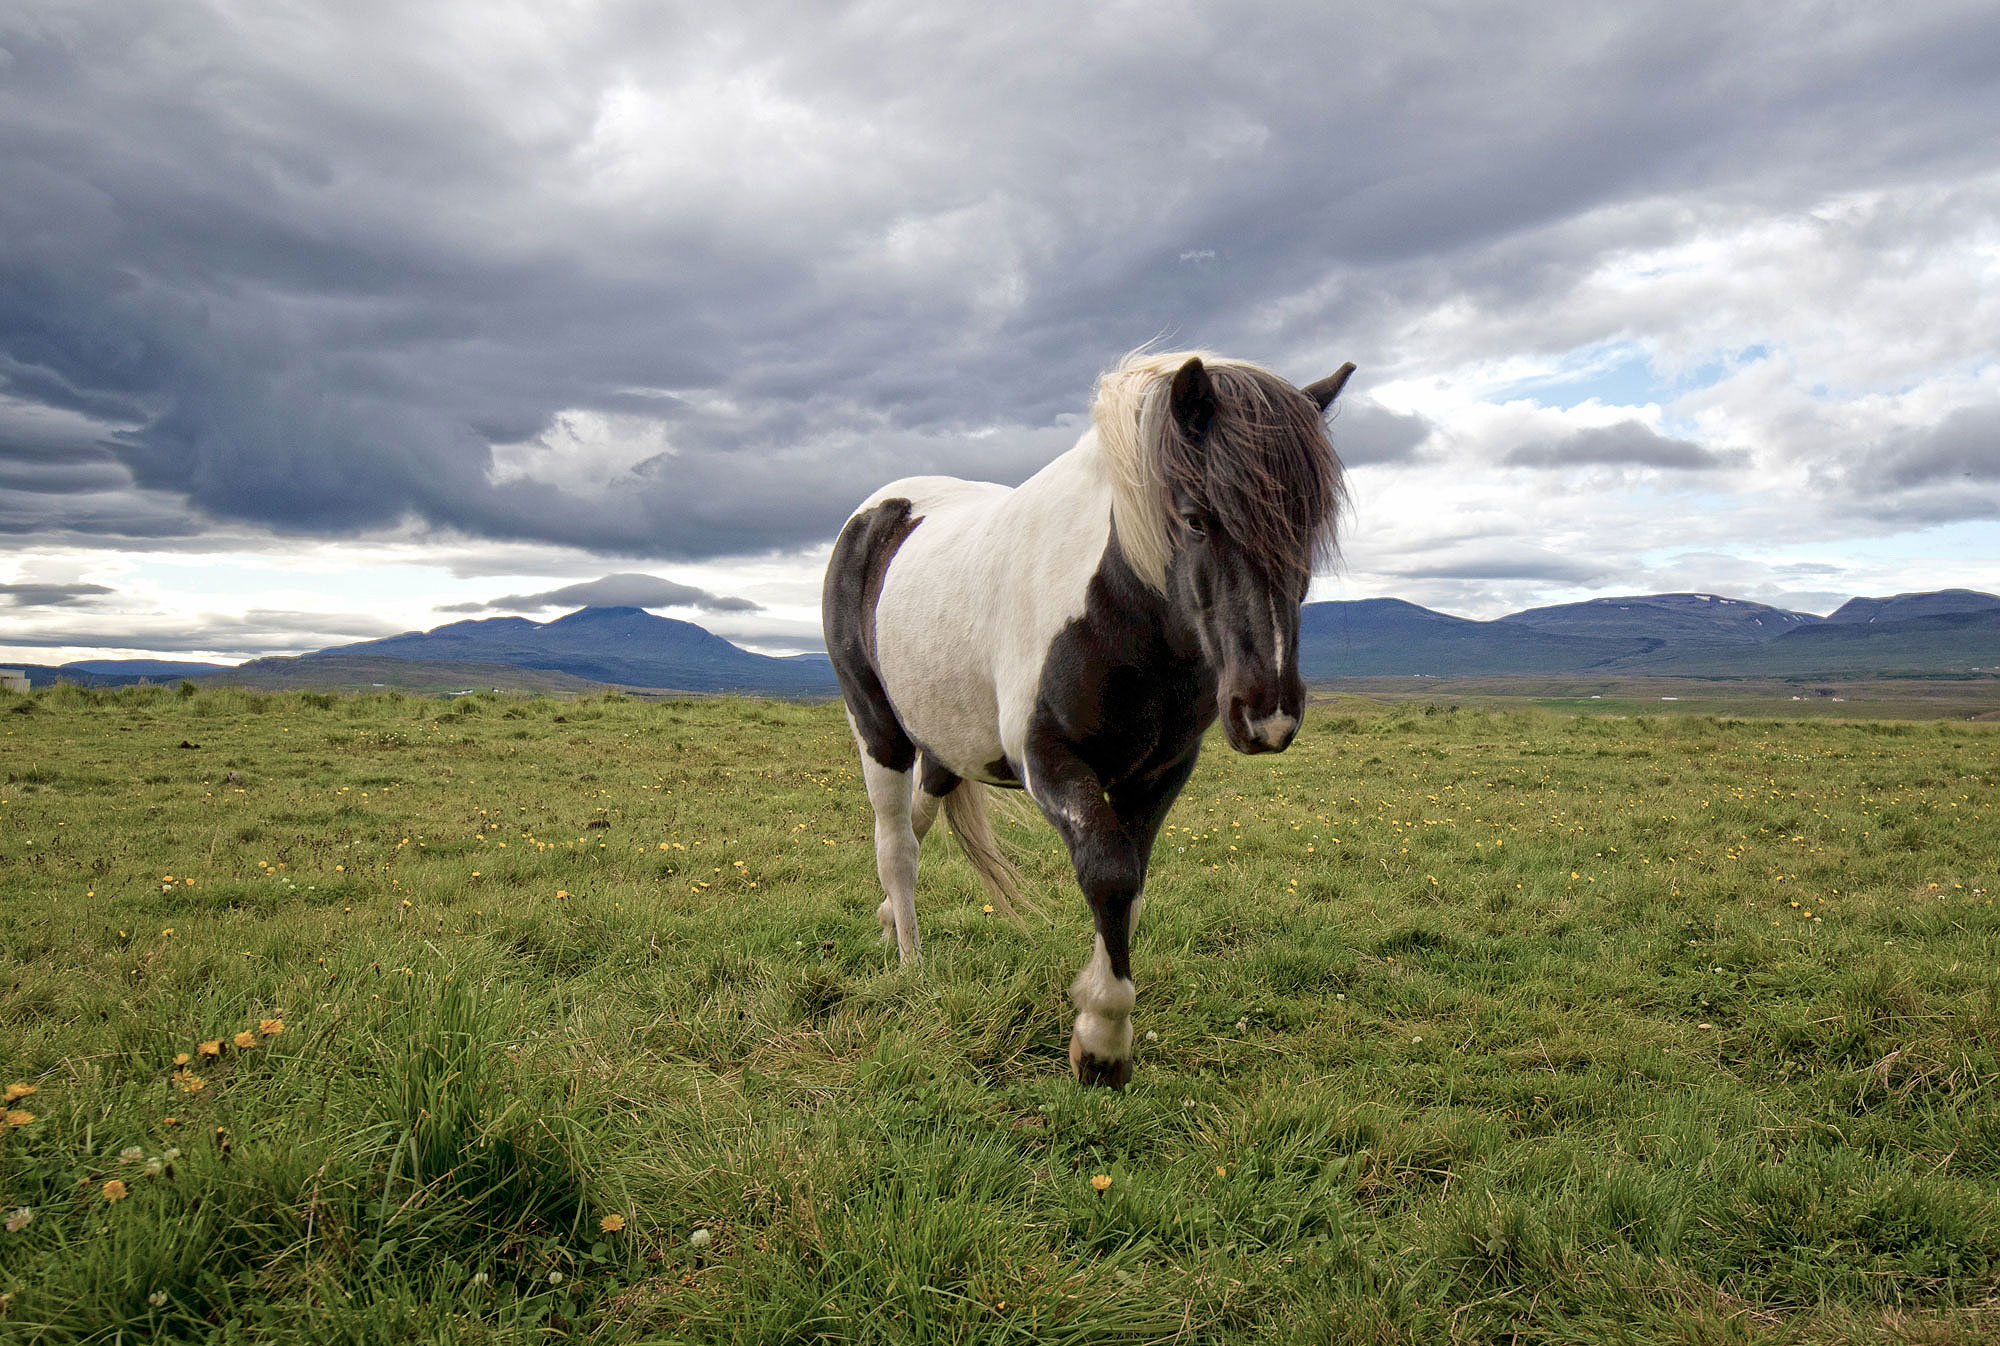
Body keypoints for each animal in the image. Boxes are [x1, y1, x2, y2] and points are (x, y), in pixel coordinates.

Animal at [820, 352, 1352, 1088]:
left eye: (1308, 526)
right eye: (1195, 518)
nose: (1266, 714)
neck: (1120, 608)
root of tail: (879, 511)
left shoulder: (1159, 772)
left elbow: (1129, 887)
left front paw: (1102, 1024)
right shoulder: (1047, 758)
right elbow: (1109, 872)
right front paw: (1102, 1039)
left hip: (948, 742)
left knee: (922, 819)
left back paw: (886, 924)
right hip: (878, 728)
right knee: (897, 846)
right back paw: (910, 965)